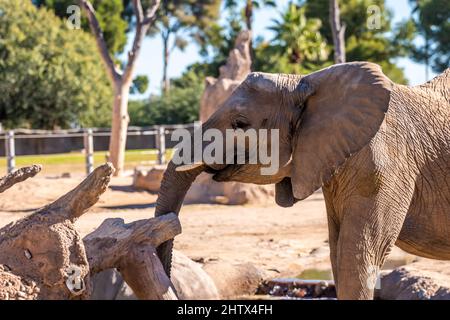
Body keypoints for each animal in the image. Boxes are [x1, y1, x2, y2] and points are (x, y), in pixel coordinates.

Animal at [156, 62, 450, 300]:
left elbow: (357, 257)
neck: (304, 82)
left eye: (240, 123)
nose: (172, 225)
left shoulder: (384, 165)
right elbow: (337, 253)